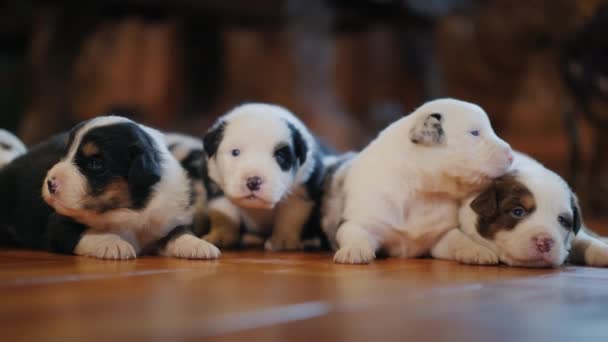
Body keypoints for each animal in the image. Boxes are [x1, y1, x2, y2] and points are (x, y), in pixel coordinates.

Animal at [0, 116, 221, 260]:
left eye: (95, 163)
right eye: (64, 155)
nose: (50, 183)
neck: (128, 211)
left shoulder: (167, 219)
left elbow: (179, 233)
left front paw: (200, 245)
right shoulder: (58, 224)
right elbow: (85, 232)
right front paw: (113, 243)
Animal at [202, 103, 326, 250]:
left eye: (280, 157)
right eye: (235, 152)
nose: (253, 181)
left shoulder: (299, 193)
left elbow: (290, 217)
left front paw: (283, 240)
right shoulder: (218, 188)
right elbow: (224, 214)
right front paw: (221, 235)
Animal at [332, 99, 512, 264]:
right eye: (474, 133)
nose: (511, 155)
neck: (421, 191)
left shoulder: (442, 234)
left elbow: (459, 240)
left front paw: (477, 250)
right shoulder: (361, 221)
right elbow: (354, 233)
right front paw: (354, 250)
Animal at [432, 152, 608, 268]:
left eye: (562, 219)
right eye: (518, 212)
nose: (544, 242)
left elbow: (585, 241)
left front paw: (603, 250)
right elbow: (452, 237)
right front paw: (476, 250)